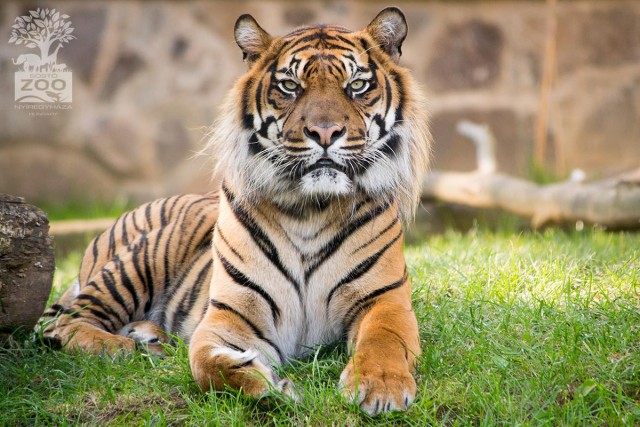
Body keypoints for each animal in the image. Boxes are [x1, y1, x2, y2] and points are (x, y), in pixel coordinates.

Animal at [39, 7, 431, 415]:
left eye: (356, 85)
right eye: (290, 86)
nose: (325, 132)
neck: (312, 208)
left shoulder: (385, 299)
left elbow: (384, 342)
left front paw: (381, 388)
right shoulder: (231, 314)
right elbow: (207, 365)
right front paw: (272, 387)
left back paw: (149, 337)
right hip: (138, 263)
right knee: (63, 324)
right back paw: (125, 345)